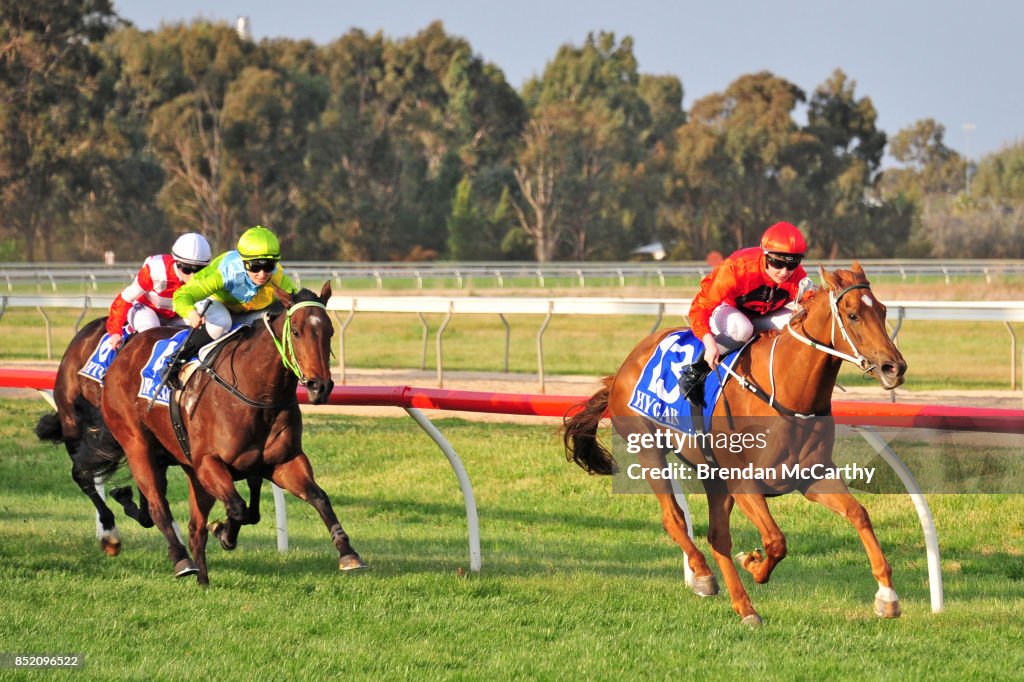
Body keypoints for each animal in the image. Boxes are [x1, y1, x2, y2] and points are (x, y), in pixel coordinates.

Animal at [82, 280, 364, 585]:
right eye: (297, 331)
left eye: (329, 331)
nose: (319, 386)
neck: (257, 393)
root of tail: (124, 351)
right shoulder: (209, 463)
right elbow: (238, 508)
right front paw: (223, 531)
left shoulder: (282, 462)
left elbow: (317, 497)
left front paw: (348, 553)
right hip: (137, 445)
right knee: (158, 506)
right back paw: (181, 560)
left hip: (188, 467)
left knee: (194, 528)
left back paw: (202, 581)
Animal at [565, 262, 909, 622]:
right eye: (853, 314)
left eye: (883, 311)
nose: (894, 367)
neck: (788, 394)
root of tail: (621, 370)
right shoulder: (745, 484)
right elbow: (775, 540)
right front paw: (754, 563)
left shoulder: (813, 476)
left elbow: (859, 513)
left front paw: (887, 595)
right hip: (649, 449)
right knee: (675, 519)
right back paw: (704, 575)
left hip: (713, 474)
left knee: (717, 537)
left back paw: (744, 606)